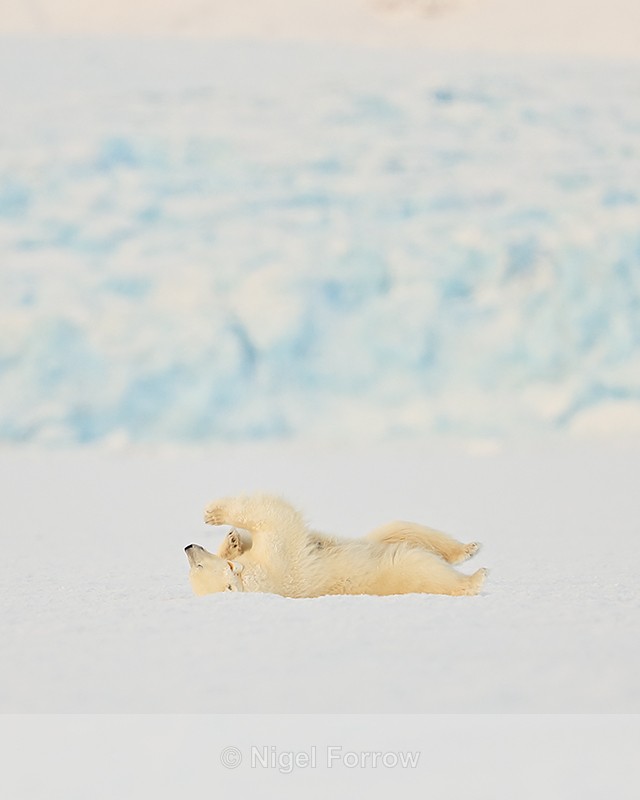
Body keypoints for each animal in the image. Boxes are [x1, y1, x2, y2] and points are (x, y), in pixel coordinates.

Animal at [185, 493, 488, 598]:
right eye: (196, 567)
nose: (188, 548)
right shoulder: (279, 559)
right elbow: (274, 516)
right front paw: (215, 514)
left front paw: (231, 538)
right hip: (397, 570)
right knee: (421, 565)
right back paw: (474, 577)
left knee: (399, 528)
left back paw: (469, 548)